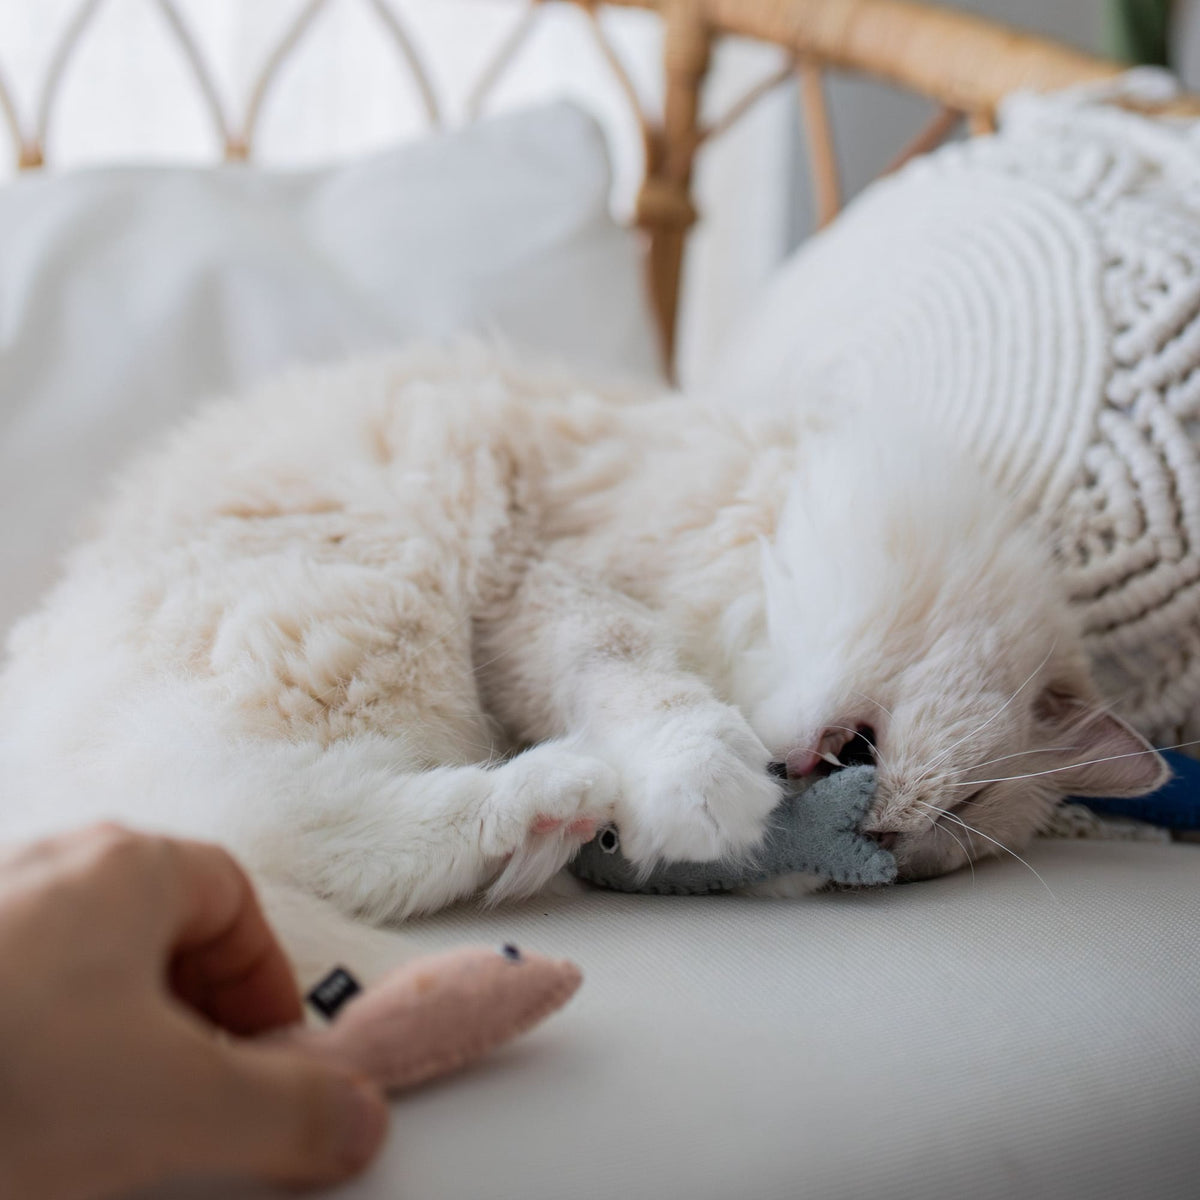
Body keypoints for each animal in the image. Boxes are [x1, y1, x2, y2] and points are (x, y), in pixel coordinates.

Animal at [0, 340, 1166, 974]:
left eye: (931, 852)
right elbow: (639, 674)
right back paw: (554, 796)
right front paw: (705, 785)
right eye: (962, 807)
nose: (877, 833)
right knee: (257, 819)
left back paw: (552, 818)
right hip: (374, 605)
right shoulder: (547, 577)